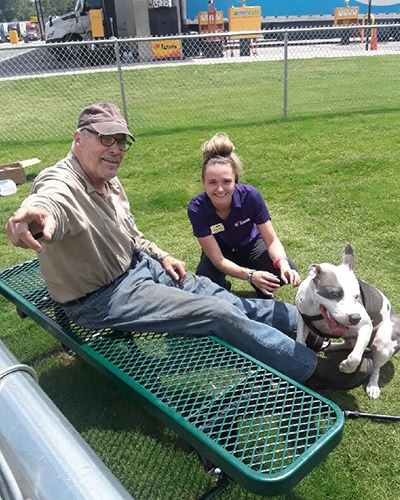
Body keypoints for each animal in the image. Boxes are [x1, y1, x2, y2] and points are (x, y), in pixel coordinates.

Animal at [294, 242, 400, 398]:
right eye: (335, 293)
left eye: (357, 296)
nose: (356, 318)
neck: (317, 311)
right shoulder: (303, 318)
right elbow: (300, 343)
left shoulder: (365, 326)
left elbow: (355, 358)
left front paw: (345, 367)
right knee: (348, 344)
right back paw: (330, 346)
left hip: (383, 344)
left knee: (376, 367)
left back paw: (373, 386)